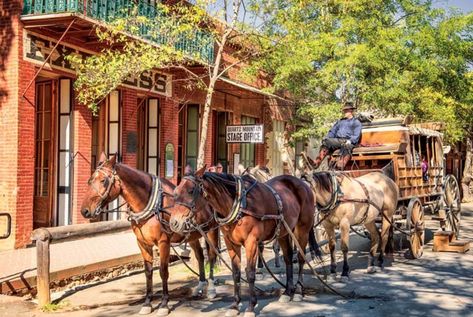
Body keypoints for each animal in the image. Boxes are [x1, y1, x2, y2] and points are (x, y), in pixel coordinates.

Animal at [79, 152, 219, 314]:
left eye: (103, 180)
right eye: (90, 180)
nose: (85, 210)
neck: (151, 204)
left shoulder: (163, 242)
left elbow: (163, 271)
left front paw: (164, 304)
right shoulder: (142, 243)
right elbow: (148, 272)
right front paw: (147, 303)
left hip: (211, 231)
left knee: (212, 256)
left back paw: (211, 289)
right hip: (192, 234)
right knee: (200, 256)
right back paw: (200, 286)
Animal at [170, 165, 318, 316]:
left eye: (191, 191)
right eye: (175, 192)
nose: (174, 223)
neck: (239, 204)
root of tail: (303, 184)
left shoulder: (251, 242)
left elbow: (250, 273)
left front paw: (251, 306)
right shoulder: (231, 243)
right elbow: (236, 273)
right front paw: (235, 305)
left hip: (302, 230)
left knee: (300, 258)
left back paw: (298, 290)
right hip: (283, 232)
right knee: (288, 258)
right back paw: (288, 292)